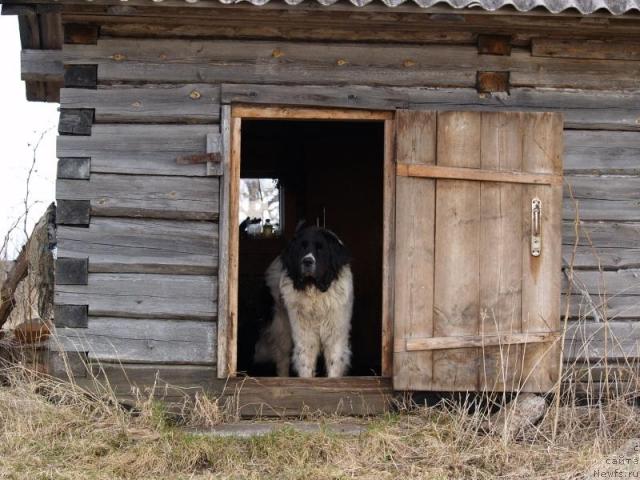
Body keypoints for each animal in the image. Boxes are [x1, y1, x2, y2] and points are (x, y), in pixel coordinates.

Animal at [255, 227, 356, 376]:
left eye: (321, 248)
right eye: (302, 248)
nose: (307, 261)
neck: (315, 291)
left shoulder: (335, 334)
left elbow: (334, 364)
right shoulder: (304, 335)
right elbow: (305, 363)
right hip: (281, 327)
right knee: (282, 359)